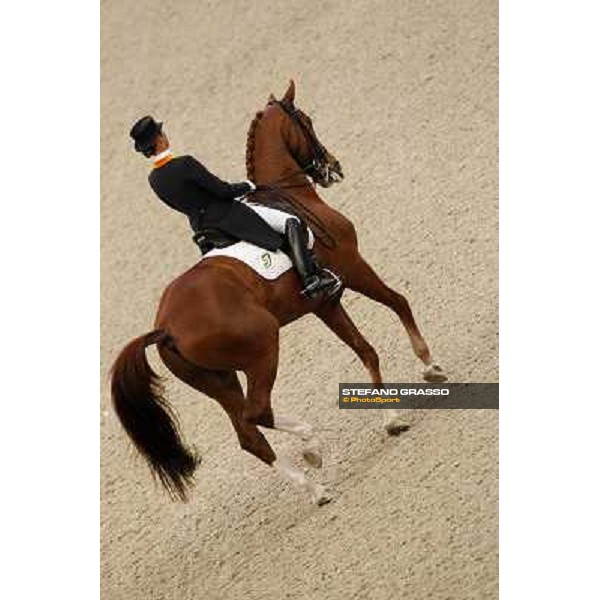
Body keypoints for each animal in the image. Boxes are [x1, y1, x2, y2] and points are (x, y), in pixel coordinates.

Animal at [110, 78, 442, 502]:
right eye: (307, 121)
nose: (333, 168)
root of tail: (164, 327)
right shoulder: (352, 267)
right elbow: (399, 302)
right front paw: (430, 366)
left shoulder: (325, 302)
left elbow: (365, 349)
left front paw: (391, 416)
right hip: (263, 347)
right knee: (257, 412)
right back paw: (311, 445)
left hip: (218, 379)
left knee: (247, 432)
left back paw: (315, 486)